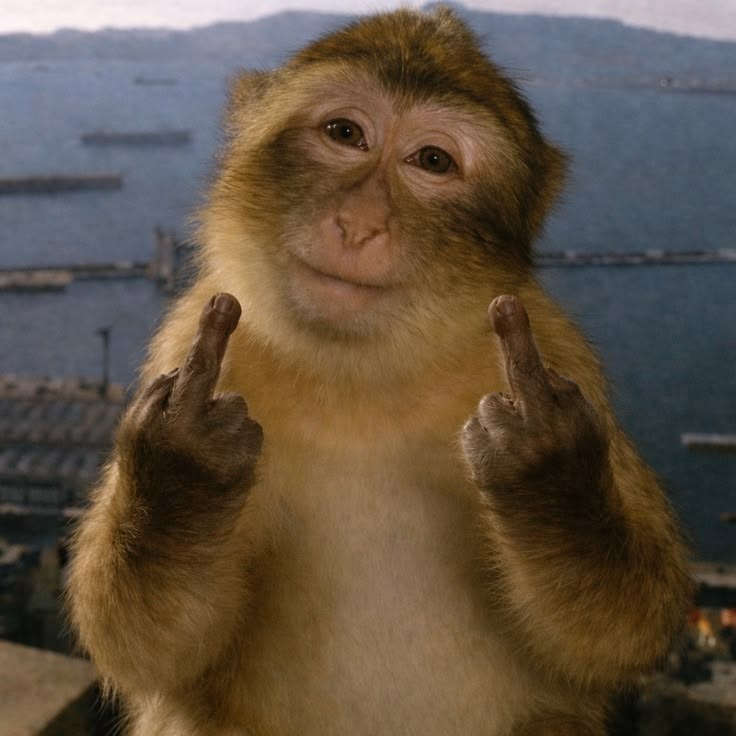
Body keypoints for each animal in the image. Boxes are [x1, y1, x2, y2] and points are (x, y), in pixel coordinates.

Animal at [67, 8, 691, 736]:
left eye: (433, 161)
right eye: (345, 134)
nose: (359, 223)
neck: (362, 372)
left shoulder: (558, 352)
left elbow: (622, 634)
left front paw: (548, 470)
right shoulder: (184, 335)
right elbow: (152, 649)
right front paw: (182, 463)